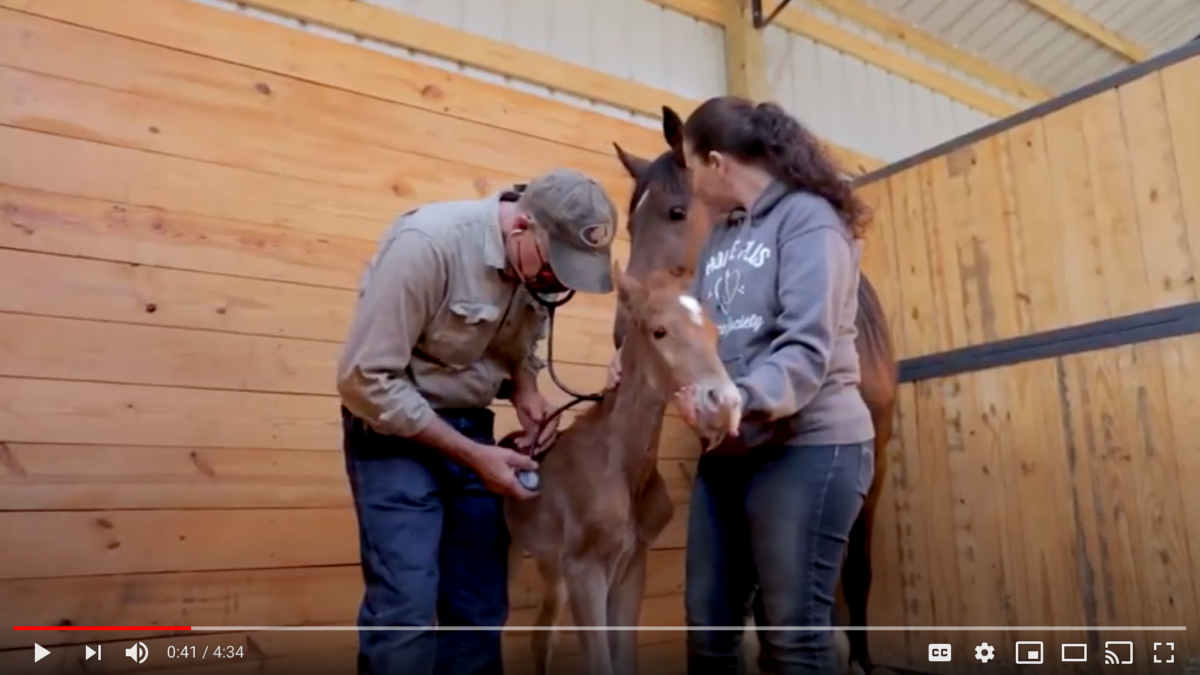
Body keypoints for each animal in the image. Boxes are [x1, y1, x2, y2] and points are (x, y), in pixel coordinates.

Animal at [503, 247, 746, 674]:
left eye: (714, 334)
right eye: (659, 332)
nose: (724, 405)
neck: (620, 466)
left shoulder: (632, 567)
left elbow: (624, 656)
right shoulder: (585, 569)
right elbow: (601, 662)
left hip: (551, 565)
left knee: (542, 635)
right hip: (513, 551)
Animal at [611, 105, 899, 675]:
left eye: (676, 212)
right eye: (629, 222)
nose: (620, 332)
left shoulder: (875, 461)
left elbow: (857, 569)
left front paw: (859, 659)